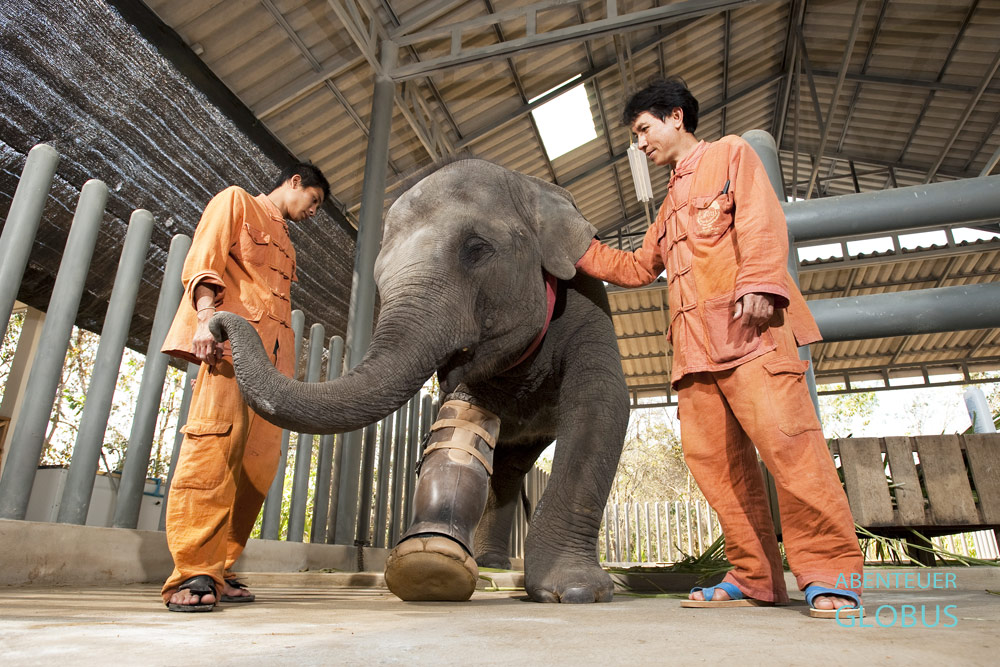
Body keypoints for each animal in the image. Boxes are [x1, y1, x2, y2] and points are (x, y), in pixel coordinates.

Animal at [210, 158, 629, 603]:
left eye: (477, 248)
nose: (217, 325)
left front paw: (576, 591)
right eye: (378, 279)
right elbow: (459, 425)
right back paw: (490, 565)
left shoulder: (587, 304)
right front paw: (427, 563)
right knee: (507, 468)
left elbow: (601, 408)